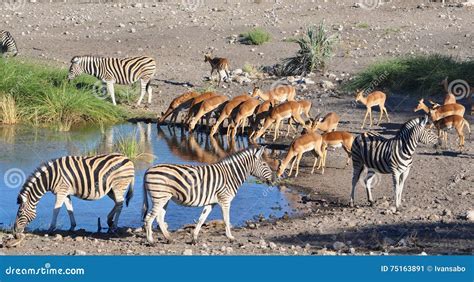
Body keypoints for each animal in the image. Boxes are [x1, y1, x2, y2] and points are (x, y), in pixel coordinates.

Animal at [143, 147, 272, 243]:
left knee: (159, 218)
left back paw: (168, 238)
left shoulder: (212, 202)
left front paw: (194, 238)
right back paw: (151, 241)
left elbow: (201, 219)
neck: (231, 175)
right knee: (149, 218)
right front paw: (230, 237)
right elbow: (226, 219)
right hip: (159, 197)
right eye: (264, 164)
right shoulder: (225, 200)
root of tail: (148, 169)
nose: (274, 179)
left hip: (165, 199)